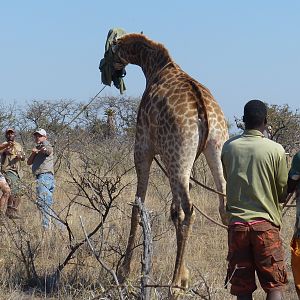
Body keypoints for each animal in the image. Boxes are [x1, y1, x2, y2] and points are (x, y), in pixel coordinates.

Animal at [106, 32, 229, 296]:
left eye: (109, 51)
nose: (105, 69)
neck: (154, 66)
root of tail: (203, 111)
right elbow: (171, 210)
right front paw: (185, 275)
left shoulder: (143, 148)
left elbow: (137, 206)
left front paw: (124, 272)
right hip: (212, 149)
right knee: (222, 205)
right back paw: (230, 276)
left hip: (176, 156)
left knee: (188, 211)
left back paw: (173, 285)